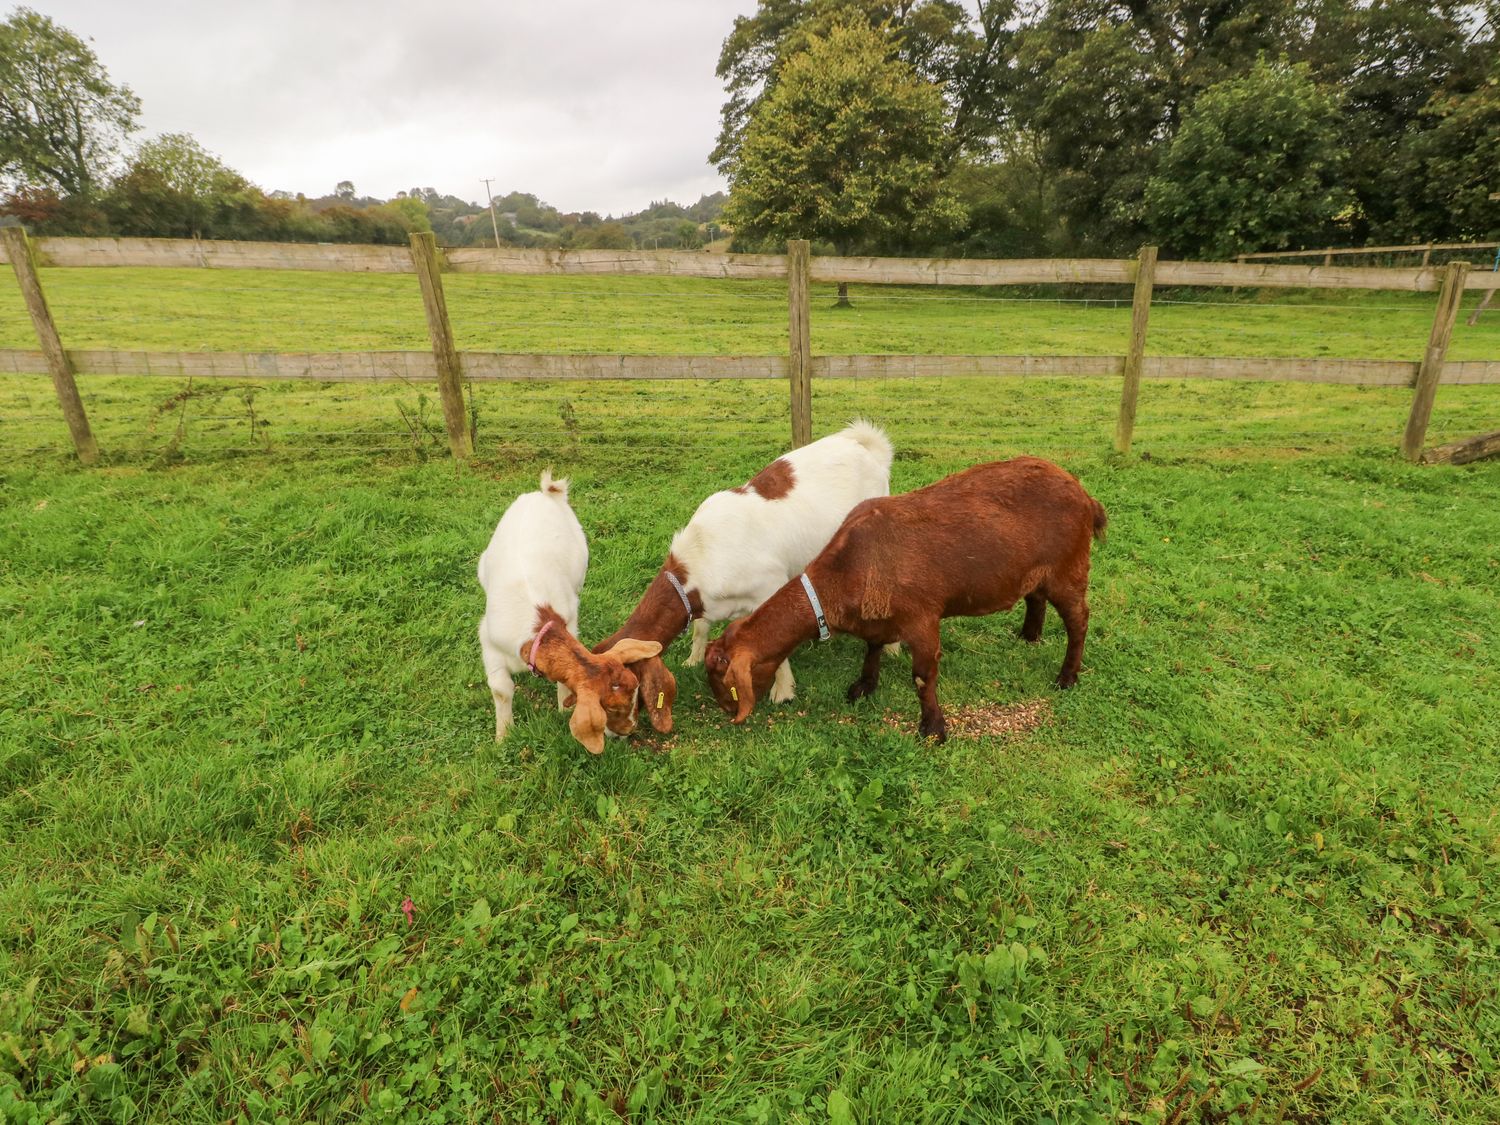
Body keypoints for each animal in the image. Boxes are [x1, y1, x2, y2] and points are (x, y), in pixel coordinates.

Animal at [480, 471, 663, 753]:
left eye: (636, 689)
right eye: (610, 708)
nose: (627, 733)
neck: (536, 626)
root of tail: (546, 494)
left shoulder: (570, 619)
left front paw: (562, 710)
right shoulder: (488, 641)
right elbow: (501, 689)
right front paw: (504, 735)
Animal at [588, 420, 894, 732]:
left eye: (618, 689)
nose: (608, 733)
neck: (703, 552)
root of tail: (867, 446)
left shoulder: (770, 585)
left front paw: (783, 691)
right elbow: (701, 627)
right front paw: (692, 659)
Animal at [699, 453, 1104, 744]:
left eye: (723, 679)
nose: (726, 712)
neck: (846, 572)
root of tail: (1084, 494)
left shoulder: (922, 619)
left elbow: (923, 677)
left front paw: (933, 729)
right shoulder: (878, 616)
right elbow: (873, 648)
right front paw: (863, 686)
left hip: (1069, 569)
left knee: (1079, 620)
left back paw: (1067, 676)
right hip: (1038, 571)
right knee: (1035, 598)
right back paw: (1029, 636)